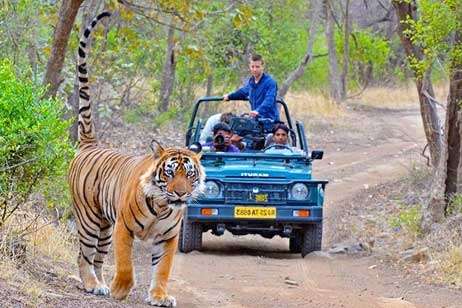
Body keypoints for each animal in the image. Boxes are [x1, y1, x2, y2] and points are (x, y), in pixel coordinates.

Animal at [68, 10, 204, 306]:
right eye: (169, 173)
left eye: (189, 175)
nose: (180, 194)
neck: (163, 205)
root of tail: (90, 144)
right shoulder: (124, 228)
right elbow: (126, 264)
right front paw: (121, 290)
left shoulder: (167, 238)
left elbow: (162, 269)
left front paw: (160, 296)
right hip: (89, 219)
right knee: (84, 254)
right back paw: (92, 284)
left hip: (105, 226)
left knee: (97, 258)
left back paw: (100, 284)